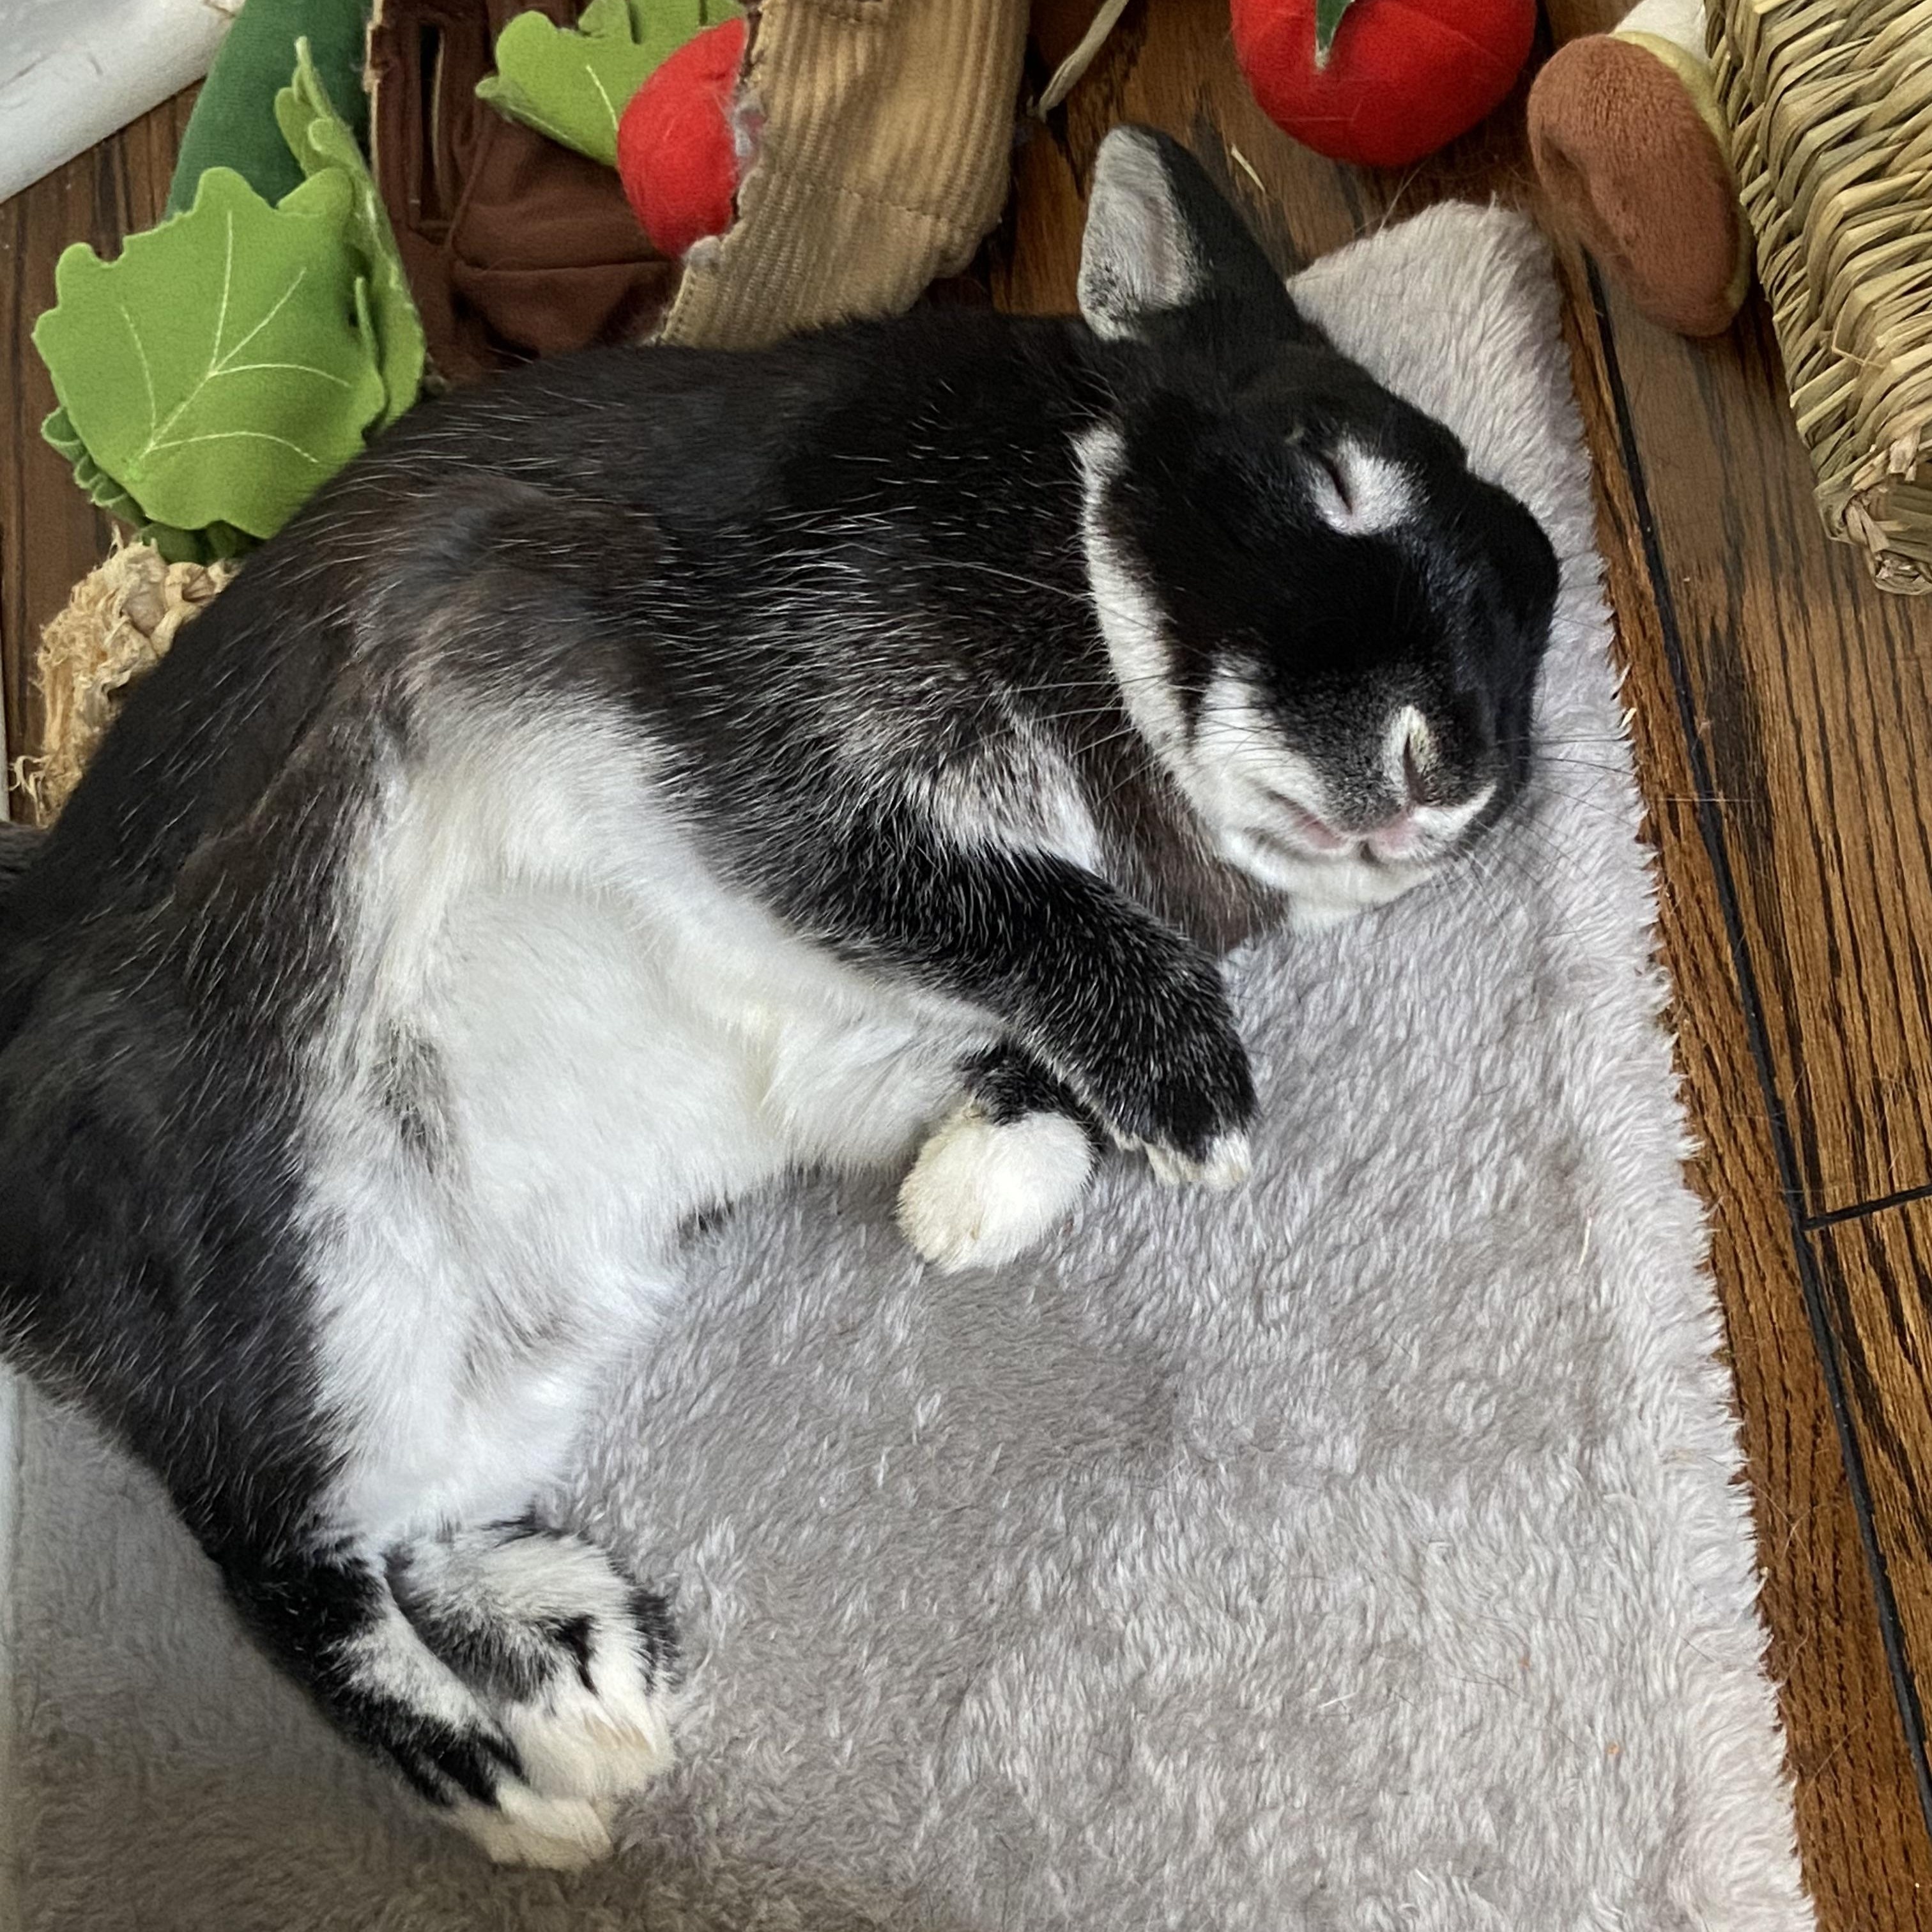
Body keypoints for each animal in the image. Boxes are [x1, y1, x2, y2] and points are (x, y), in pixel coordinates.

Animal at [0, 126, 1557, 1867]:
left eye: (1543, 608)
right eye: (1330, 476)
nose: (1454, 771)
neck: (1076, 552)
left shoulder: (876, 1014)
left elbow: (1017, 1045)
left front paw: (969, 1202)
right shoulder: (747, 738)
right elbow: (996, 899)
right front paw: (1203, 1109)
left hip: (519, 1325)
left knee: (400, 1520)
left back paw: (578, 1661)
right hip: (305, 1254)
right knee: (279, 1561)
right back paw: (522, 1796)